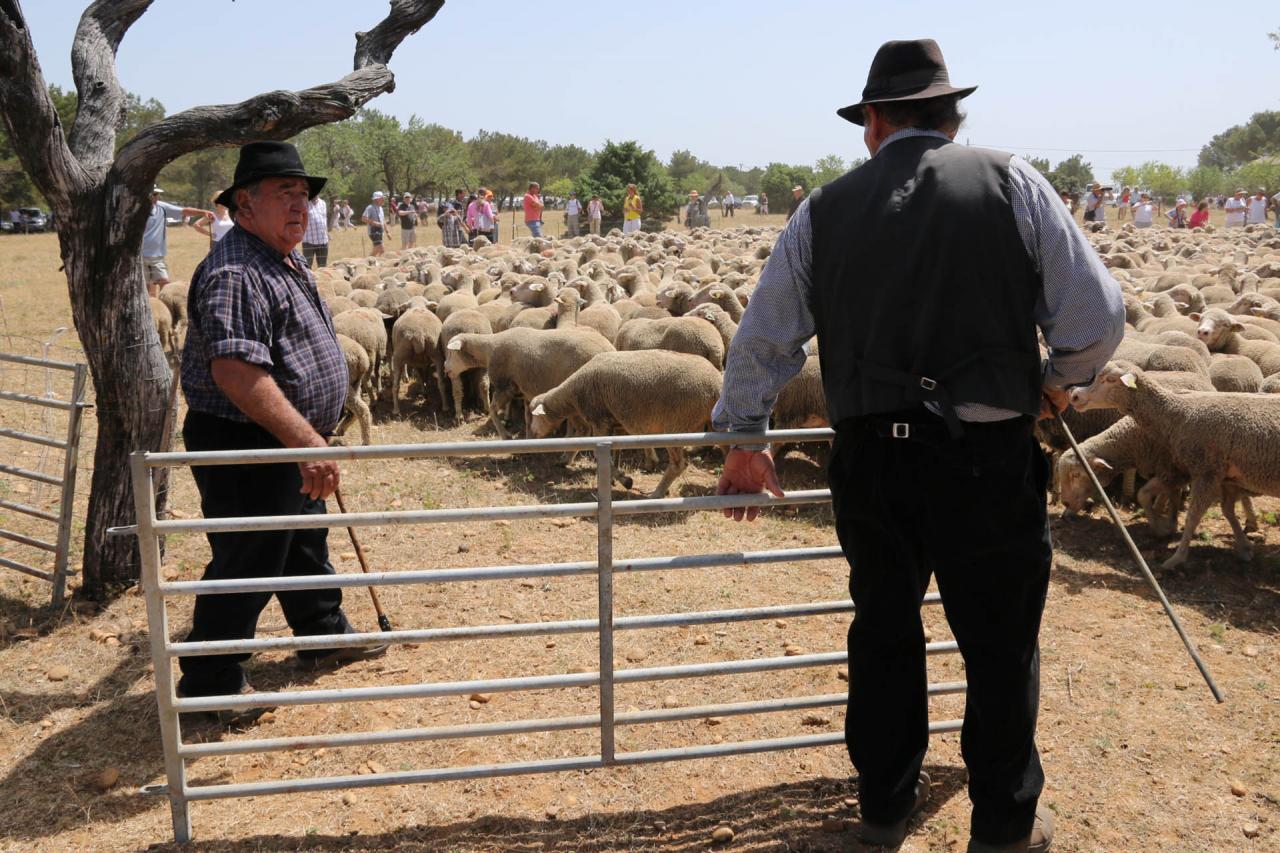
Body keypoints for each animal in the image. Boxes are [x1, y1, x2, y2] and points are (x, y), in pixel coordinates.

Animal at [527, 348, 727, 494]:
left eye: (535, 416)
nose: (533, 434)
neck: (574, 393)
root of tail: (716, 384)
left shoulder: (599, 421)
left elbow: (600, 456)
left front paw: (626, 481)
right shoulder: (618, 424)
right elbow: (614, 454)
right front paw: (612, 479)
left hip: (677, 425)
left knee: (678, 465)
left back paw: (656, 493)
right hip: (714, 423)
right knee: (727, 449)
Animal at [1064, 361, 1274, 568]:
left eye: (1111, 379)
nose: (1075, 395)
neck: (1179, 414)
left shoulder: (1202, 471)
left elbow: (1192, 515)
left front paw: (1175, 553)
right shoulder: (1202, 473)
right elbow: (1219, 508)